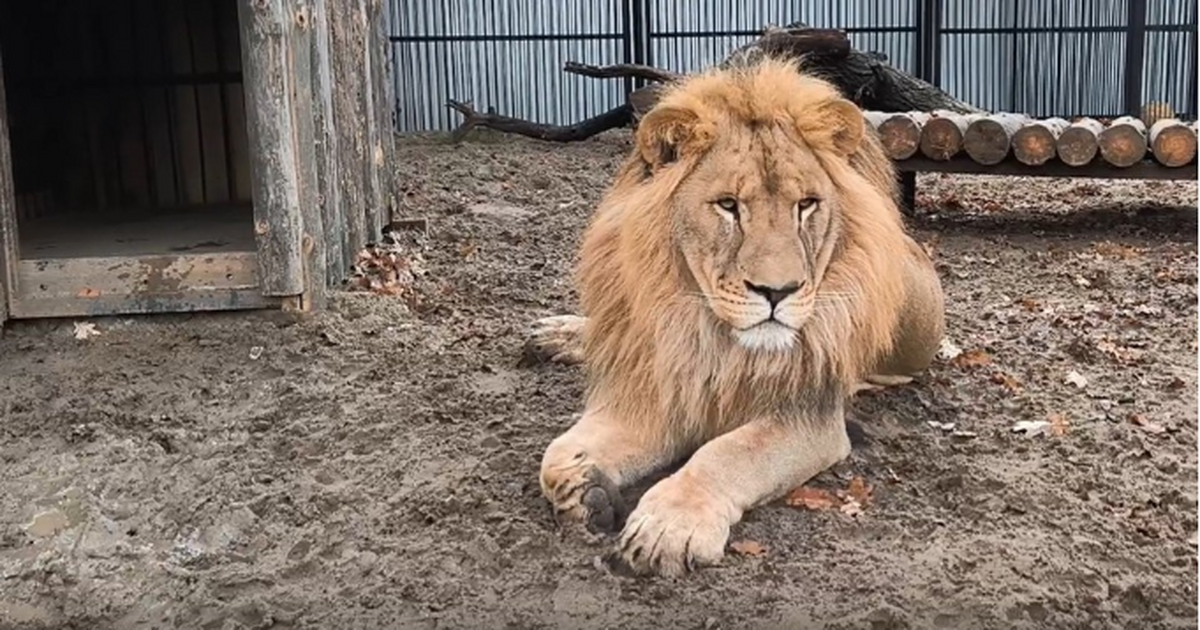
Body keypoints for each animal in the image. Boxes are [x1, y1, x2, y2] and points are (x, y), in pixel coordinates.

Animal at [532, 58, 946, 577]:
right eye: (728, 206)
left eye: (805, 205)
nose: (778, 291)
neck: (708, 332)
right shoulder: (662, 385)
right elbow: (555, 456)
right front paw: (587, 486)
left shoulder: (809, 416)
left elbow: (726, 454)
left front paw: (666, 527)